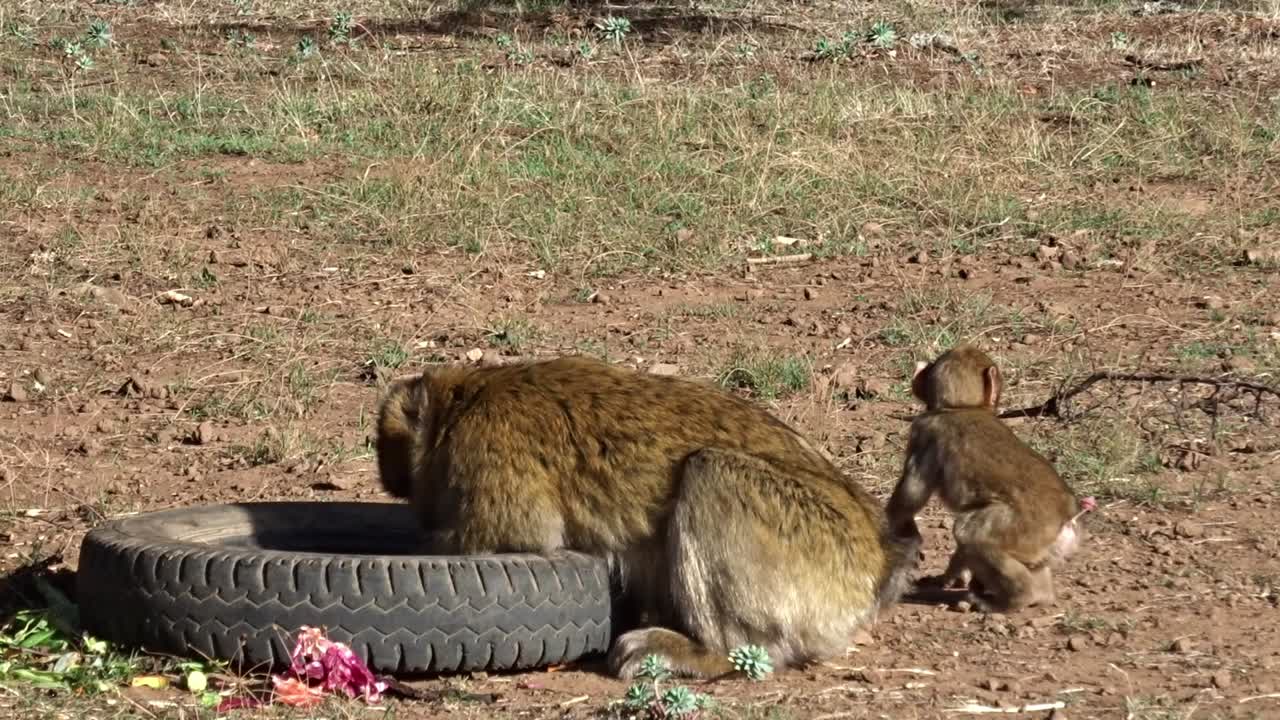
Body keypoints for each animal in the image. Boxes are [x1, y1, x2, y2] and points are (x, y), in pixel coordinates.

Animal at [375, 354, 921, 680]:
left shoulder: (487, 447)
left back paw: (708, 652)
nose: (418, 512)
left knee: (710, 472)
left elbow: (519, 533)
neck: (468, 396)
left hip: (823, 551)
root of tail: (881, 554)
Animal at [885, 344, 1092, 613]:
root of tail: (1067, 520)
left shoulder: (924, 430)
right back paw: (1040, 596)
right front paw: (954, 573)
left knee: (970, 533)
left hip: (1022, 529)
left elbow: (909, 496)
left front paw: (910, 534)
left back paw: (1013, 599)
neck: (961, 407)